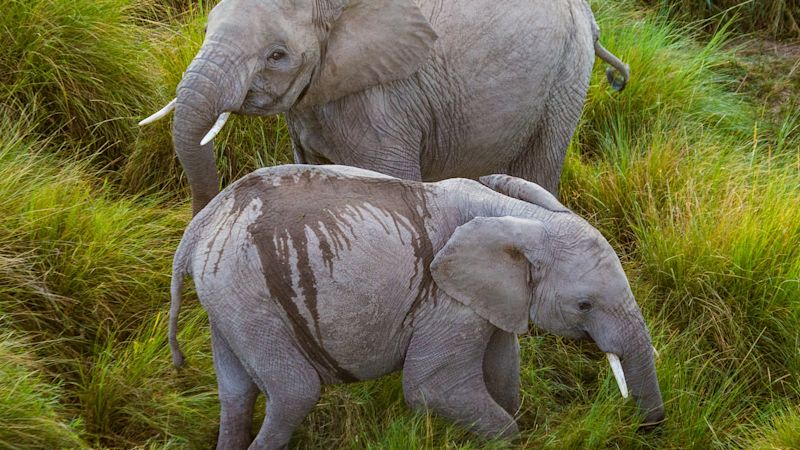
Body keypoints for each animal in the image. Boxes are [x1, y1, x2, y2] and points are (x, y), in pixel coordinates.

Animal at [140, 0, 630, 215]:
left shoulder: (383, 104)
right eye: (206, 27)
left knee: (538, 167)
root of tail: (590, 18)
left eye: (277, 55)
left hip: (566, 78)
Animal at [169, 164, 664, 449]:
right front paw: (509, 438)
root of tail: (198, 228)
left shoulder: (486, 300)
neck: (522, 216)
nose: (647, 430)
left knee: (237, 392)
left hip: (229, 300)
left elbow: (502, 371)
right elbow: (432, 388)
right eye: (584, 304)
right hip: (249, 293)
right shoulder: (447, 301)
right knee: (294, 392)